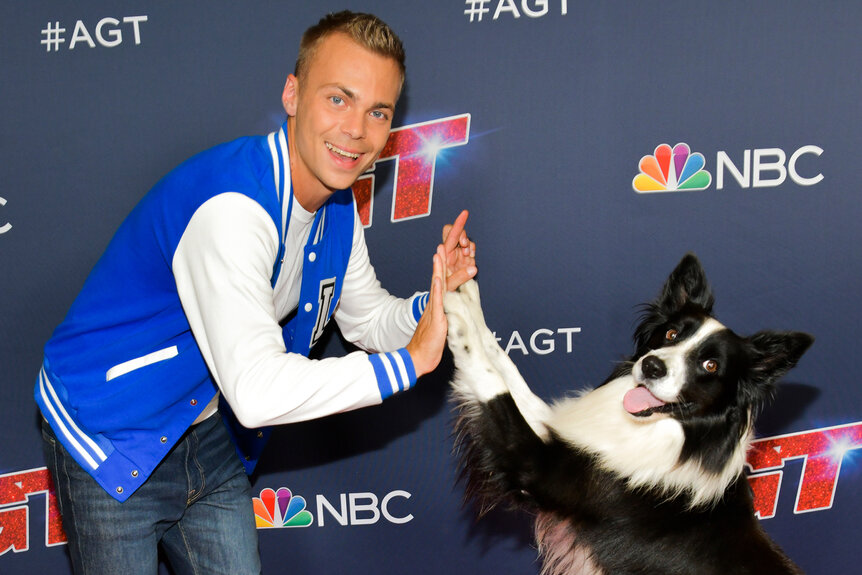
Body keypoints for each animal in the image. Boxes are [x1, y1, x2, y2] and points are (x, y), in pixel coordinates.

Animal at [446, 256, 816, 575]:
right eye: (671, 334)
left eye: (710, 365)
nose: (652, 366)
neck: (678, 437)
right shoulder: (569, 441)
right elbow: (504, 364)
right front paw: (463, 290)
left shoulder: (537, 467)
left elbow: (491, 383)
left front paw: (455, 315)